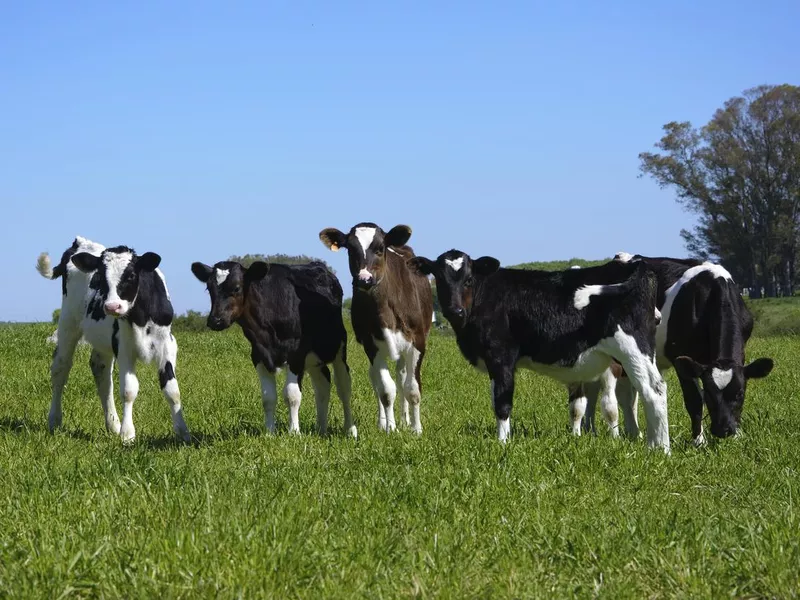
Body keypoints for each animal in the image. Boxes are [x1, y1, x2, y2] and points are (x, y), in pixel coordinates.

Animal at [38, 237, 191, 442]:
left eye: (131, 275)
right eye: (100, 278)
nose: (111, 307)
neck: (141, 317)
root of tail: (79, 241)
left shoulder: (167, 345)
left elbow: (172, 390)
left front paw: (183, 432)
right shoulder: (124, 346)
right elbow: (128, 390)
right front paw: (127, 434)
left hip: (102, 342)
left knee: (101, 374)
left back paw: (112, 425)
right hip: (68, 323)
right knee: (60, 369)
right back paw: (55, 420)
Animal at [191, 258, 356, 436]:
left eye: (236, 287)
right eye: (209, 288)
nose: (215, 320)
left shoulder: (296, 355)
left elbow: (292, 395)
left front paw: (294, 432)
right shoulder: (258, 355)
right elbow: (268, 397)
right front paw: (270, 433)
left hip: (339, 348)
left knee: (344, 388)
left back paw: (350, 430)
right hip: (314, 359)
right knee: (322, 385)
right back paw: (321, 429)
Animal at [318, 223, 434, 434]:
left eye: (380, 249)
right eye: (350, 249)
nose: (364, 279)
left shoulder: (417, 342)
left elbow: (412, 388)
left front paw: (416, 429)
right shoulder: (372, 344)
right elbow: (386, 390)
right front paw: (390, 428)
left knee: (402, 377)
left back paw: (405, 419)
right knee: (376, 379)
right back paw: (384, 422)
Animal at [410, 248, 672, 450]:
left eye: (468, 280)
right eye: (440, 279)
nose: (455, 311)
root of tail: (639, 266)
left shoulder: (501, 356)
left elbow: (502, 402)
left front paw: (502, 443)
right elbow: (496, 401)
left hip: (631, 347)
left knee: (653, 390)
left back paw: (660, 448)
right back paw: (654, 443)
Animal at [580, 254, 776, 446]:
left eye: (740, 393)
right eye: (709, 393)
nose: (723, 430)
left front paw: (736, 435)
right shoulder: (681, 359)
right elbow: (694, 400)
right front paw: (699, 441)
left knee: (626, 393)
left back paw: (631, 433)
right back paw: (598, 430)